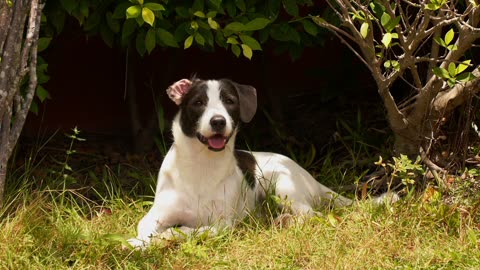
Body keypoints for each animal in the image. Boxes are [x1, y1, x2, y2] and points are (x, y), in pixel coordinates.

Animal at [126, 77, 368, 248]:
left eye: (230, 101)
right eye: (198, 103)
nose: (218, 121)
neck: (201, 165)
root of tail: (311, 179)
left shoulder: (222, 224)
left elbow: (188, 230)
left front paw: (166, 236)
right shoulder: (156, 215)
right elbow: (144, 229)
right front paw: (139, 244)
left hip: (282, 185)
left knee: (312, 214)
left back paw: (285, 221)